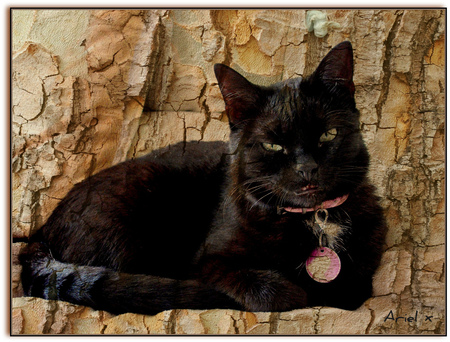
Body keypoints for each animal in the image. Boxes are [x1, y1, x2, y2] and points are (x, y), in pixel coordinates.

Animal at [20, 42, 386, 316]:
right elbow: (265, 287)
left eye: (328, 135)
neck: (314, 221)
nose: (306, 169)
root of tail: (42, 231)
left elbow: (351, 287)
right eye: (273, 145)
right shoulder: (207, 261)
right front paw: (289, 291)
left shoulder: (362, 273)